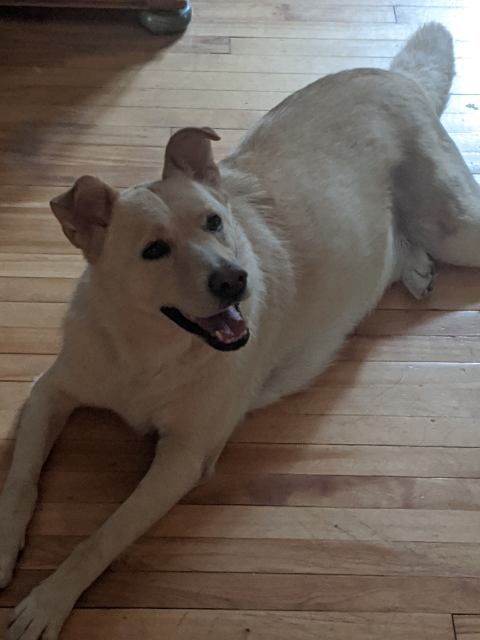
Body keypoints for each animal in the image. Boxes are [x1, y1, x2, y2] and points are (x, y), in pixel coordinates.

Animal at [1, 22, 479, 640]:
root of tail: (390, 74)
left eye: (214, 221)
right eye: (153, 250)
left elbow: (100, 537)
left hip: (457, 229)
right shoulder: (50, 391)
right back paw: (414, 266)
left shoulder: (183, 457)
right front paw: (3, 547)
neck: (146, 351)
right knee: (396, 243)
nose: (235, 281)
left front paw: (47, 600)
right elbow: (20, 479)